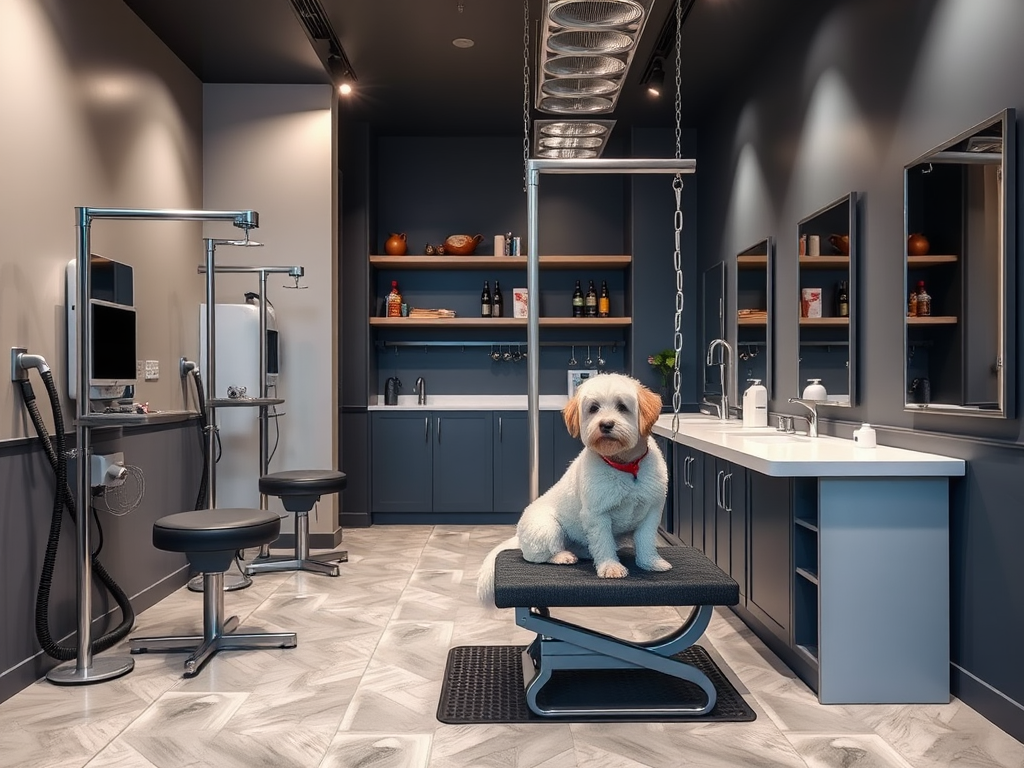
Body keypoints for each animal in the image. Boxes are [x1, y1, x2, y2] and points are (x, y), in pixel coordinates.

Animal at [479, 374, 671, 606]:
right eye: (594, 408)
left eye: (622, 406)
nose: (606, 424)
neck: (625, 466)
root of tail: (518, 536)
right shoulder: (597, 515)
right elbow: (604, 542)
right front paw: (611, 567)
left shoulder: (651, 512)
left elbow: (646, 541)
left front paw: (651, 563)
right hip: (547, 528)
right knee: (537, 556)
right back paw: (563, 556)